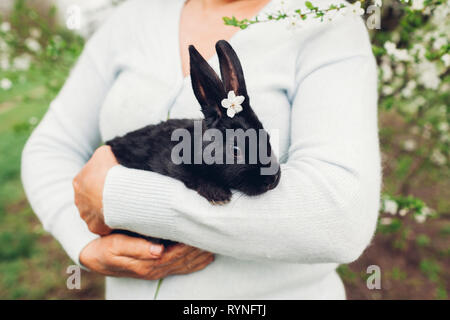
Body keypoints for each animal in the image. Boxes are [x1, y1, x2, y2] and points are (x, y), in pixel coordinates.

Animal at [107, 40, 280, 245]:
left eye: (267, 137)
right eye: (235, 150)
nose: (272, 179)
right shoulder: (171, 163)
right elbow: (192, 177)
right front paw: (219, 195)